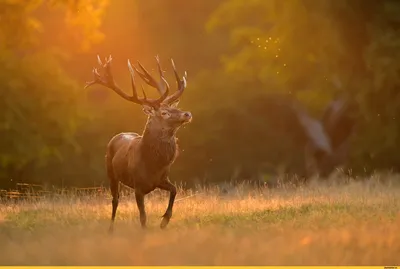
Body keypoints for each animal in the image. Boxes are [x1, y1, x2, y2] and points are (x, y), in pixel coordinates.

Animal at [84, 54, 192, 230]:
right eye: (164, 112)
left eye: (175, 107)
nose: (187, 114)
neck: (152, 165)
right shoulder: (138, 187)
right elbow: (143, 217)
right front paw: (145, 231)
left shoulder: (161, 179)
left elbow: (175, 190)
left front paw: (164, 220)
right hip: (110, 172)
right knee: (115, 200)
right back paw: (110, 229)